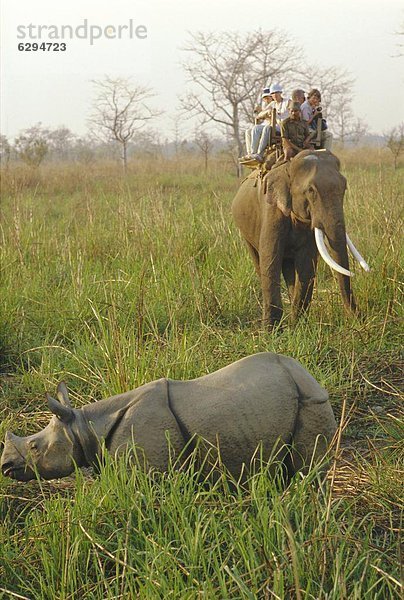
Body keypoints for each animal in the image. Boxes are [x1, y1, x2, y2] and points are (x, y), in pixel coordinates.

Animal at [230, 150, 370, 328]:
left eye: (344, 186)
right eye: (311, 190)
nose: (359, 318)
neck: (288, 167)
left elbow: (306, 263)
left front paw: (297, 325)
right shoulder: (271, 210)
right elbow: (270, 259)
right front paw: (271, 330)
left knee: (289, 267)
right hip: (244, 230)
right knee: (258, 261)